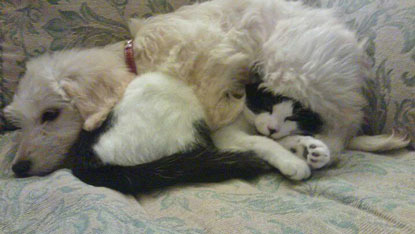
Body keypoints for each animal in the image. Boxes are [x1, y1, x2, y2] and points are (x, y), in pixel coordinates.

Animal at [3, 0, 410, 179]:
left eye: (50, 114)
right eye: (18, 122)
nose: (18, 168)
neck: (134, 56)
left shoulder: (217, 59)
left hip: (298, 70)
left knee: (341, 131)